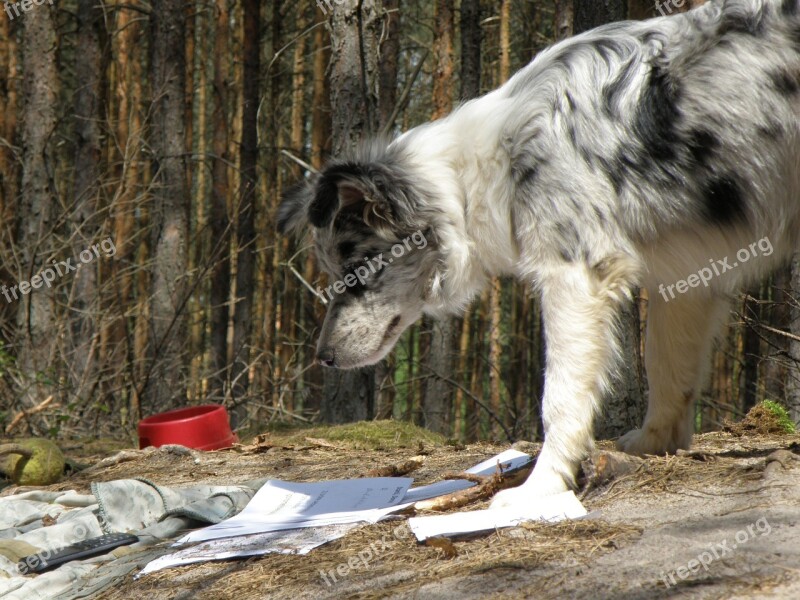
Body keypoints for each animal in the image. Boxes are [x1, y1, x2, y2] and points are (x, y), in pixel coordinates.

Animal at [280, 0, 800, 506]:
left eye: (357, 271)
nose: (323, 358)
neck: (483, 169)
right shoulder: (684, 274)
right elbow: (668, 368)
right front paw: (655, 444)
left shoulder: (576, 274)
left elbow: (560, 399)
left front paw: (542, 487)